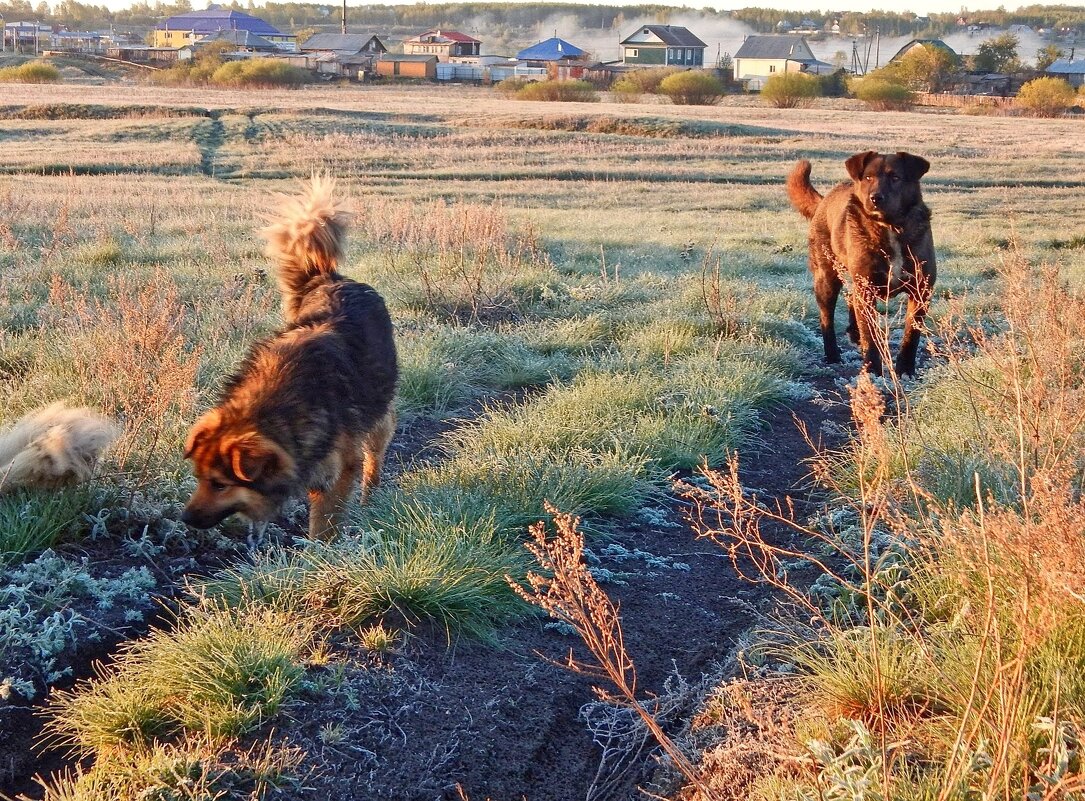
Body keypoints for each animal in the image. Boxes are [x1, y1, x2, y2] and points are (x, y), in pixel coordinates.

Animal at [182, 174, 399, 536]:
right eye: (198, 478)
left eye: (220, 484)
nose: (184, 519)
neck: (279, 403)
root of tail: (330, 277)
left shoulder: (338, 470)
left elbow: (324, 526)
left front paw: (322, 550)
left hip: (378, 413)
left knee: (376, 452)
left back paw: (372, 496)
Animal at [789, 149, 933, 373]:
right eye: (868, 177)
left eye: (895, 177)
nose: (875, 198)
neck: (889, 227)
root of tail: (823, 200)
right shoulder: (867, 290)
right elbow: (871, 336)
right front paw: (872, 370)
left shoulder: (921, 290)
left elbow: (912, 335)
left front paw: (905, 370)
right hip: (827, 279)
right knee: (826, 317)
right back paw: (832, 354)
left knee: (850, 299)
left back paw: (853, 332)